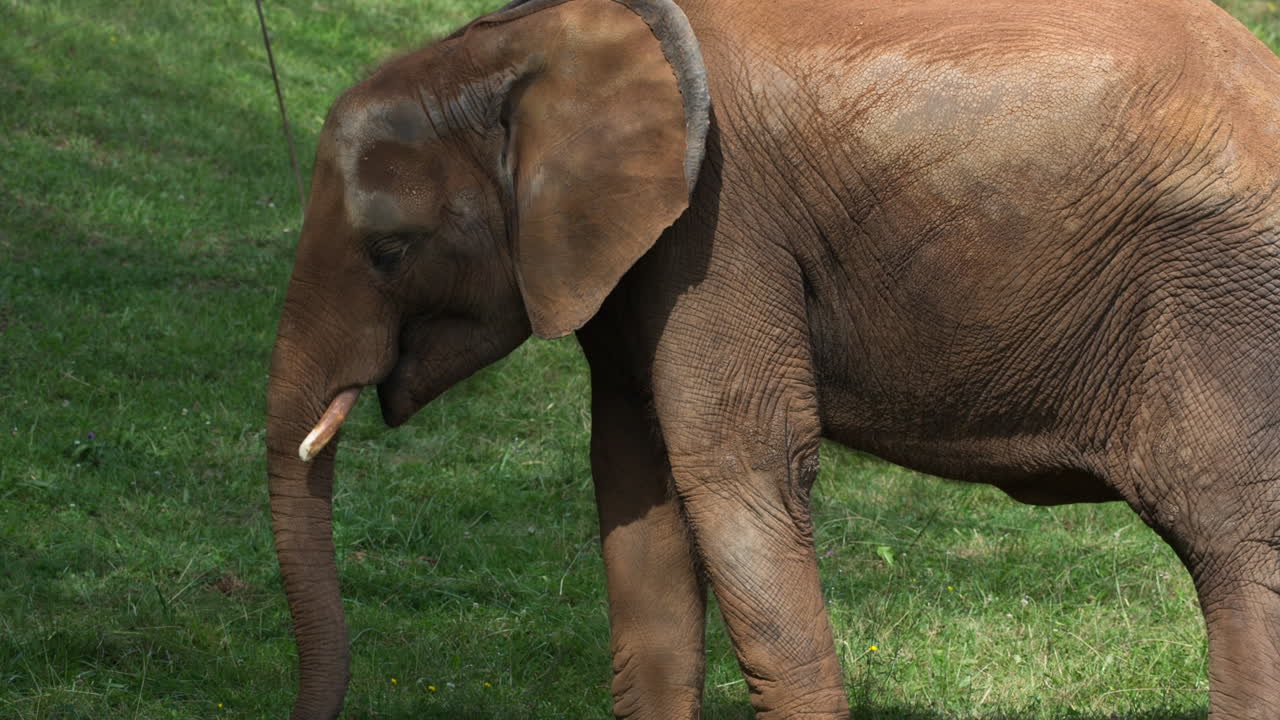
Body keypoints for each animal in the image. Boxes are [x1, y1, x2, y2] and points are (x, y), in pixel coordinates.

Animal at [265, 0, 1280, 717]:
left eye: (390, 251)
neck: (526, 41)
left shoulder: (721, 227)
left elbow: (737, 469)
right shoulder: (641, 261)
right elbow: (637, 483)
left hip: (1222, 302)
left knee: (1235, 545)